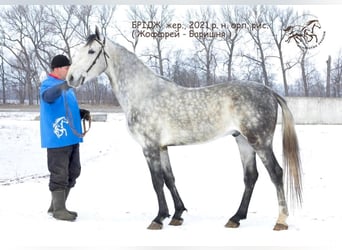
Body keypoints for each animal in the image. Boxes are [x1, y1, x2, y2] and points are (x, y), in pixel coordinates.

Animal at [67, 26, 302, 230]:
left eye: (91, 51)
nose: (70, 77)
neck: (143, 93)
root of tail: (270, 91)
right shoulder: (162, 147)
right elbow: (169, 178)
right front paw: (177, 215)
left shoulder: (149, 147)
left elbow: (156, 181)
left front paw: (158, 218)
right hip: (242, 140)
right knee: (250, 177)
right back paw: (235, 218)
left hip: (259, 142)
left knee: (276, 173)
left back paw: (281, 220)